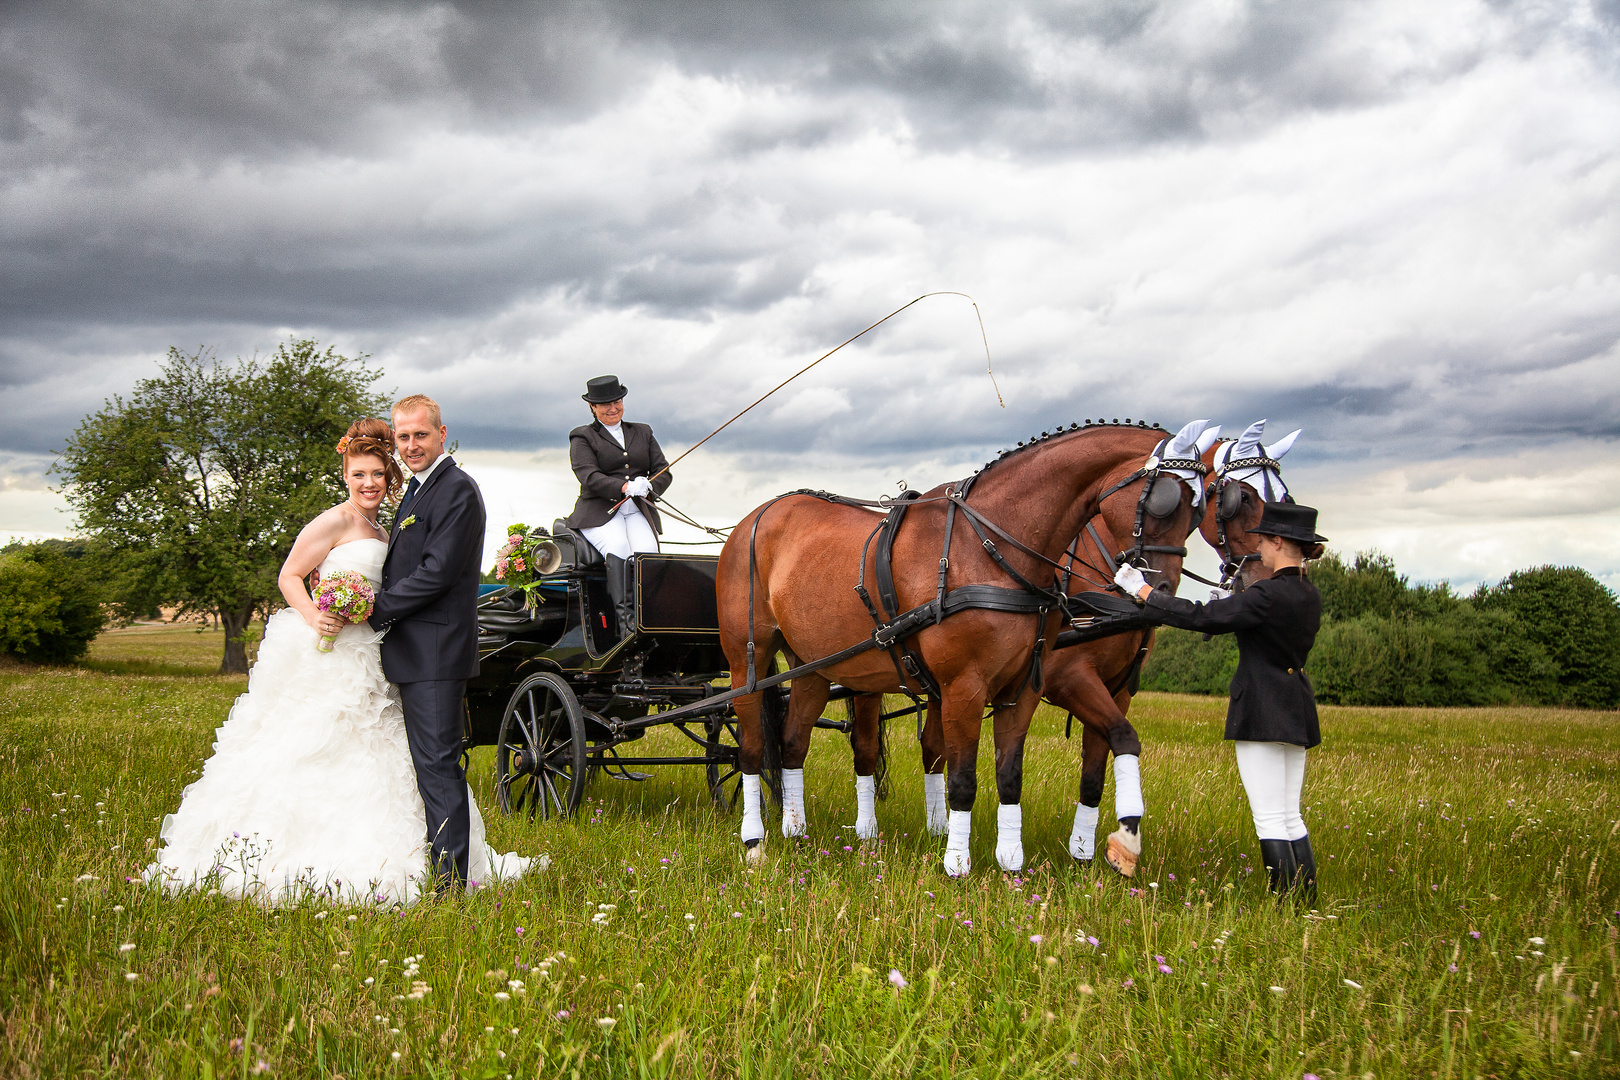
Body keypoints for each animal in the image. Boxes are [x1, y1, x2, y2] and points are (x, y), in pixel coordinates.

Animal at [719, 417, 1205, 874]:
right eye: (1166, 501)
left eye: (1199, 511)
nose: (1158, 592)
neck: (988, 550)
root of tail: (753, 518)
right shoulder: (967, 687)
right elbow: (963, 779)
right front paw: (956, 863)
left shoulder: (1023, 690)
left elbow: (1010, 775)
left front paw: (1012, 862)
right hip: (747, 664)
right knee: (752, 748)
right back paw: (754, 841)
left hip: (814, 668)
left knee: (794, 743)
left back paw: (796, 830)